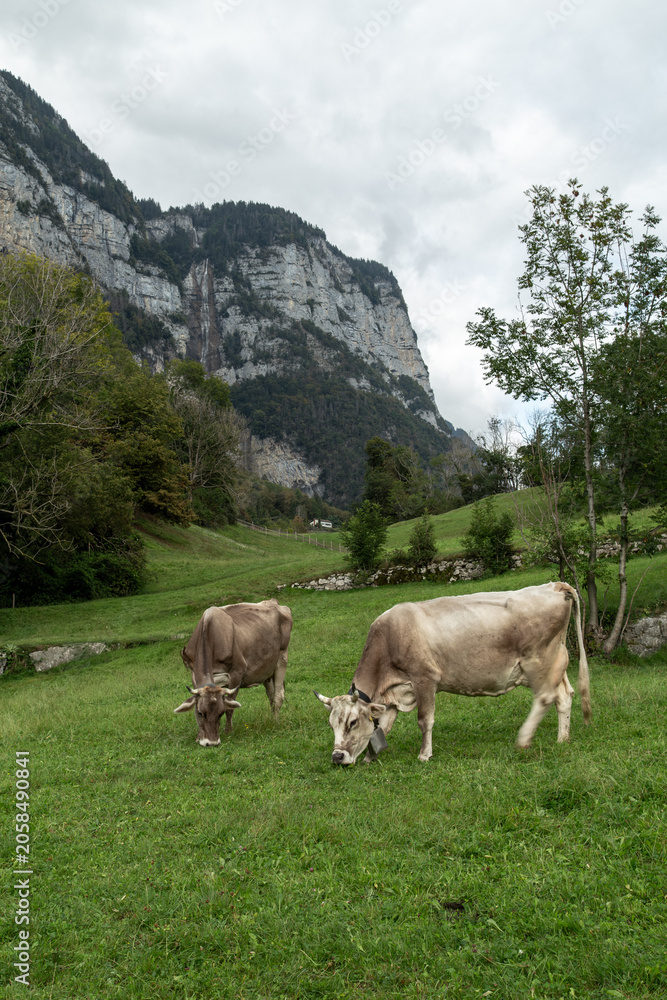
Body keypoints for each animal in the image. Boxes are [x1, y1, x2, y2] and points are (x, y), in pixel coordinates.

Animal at [174, 598, 293, 747]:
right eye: (200, 713)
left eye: (220, 713)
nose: (211, 743)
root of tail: (273, 601)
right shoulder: (194, 675)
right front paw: (199, 736)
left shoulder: (237, 672)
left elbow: (230, 707)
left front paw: (228, 731)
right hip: (266, 670)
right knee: (271, 695)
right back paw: (271, 719)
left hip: (282, 658)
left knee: (278, 695)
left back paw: (275, 721)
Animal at [314, 582, 590, 764]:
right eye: (330, 724)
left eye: (352, 722)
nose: (337, 756)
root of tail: (555, 586)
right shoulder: (394, 694)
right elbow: (383, 725)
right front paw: (371, 757)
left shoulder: (424, 678)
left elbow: (425, 719)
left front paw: (424, 754)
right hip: (557, 661)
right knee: (564, 696)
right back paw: (562, 739)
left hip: (537, 661)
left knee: (544, 697)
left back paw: (523, 739)